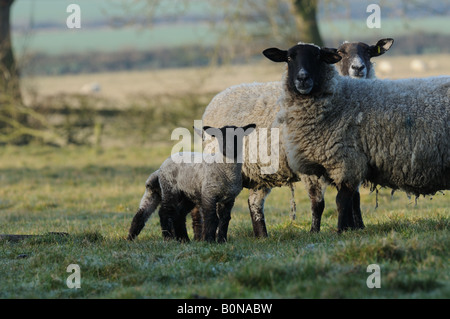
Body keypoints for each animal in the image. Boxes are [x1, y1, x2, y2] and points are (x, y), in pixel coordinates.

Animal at [264, 42, 450, 232]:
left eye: (317, 57)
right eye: (289, 58)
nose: (302, 78)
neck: (340, 97)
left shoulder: (348, 161)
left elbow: (342, 201)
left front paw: (341, 230)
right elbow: (337, 201)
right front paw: (337, 230)